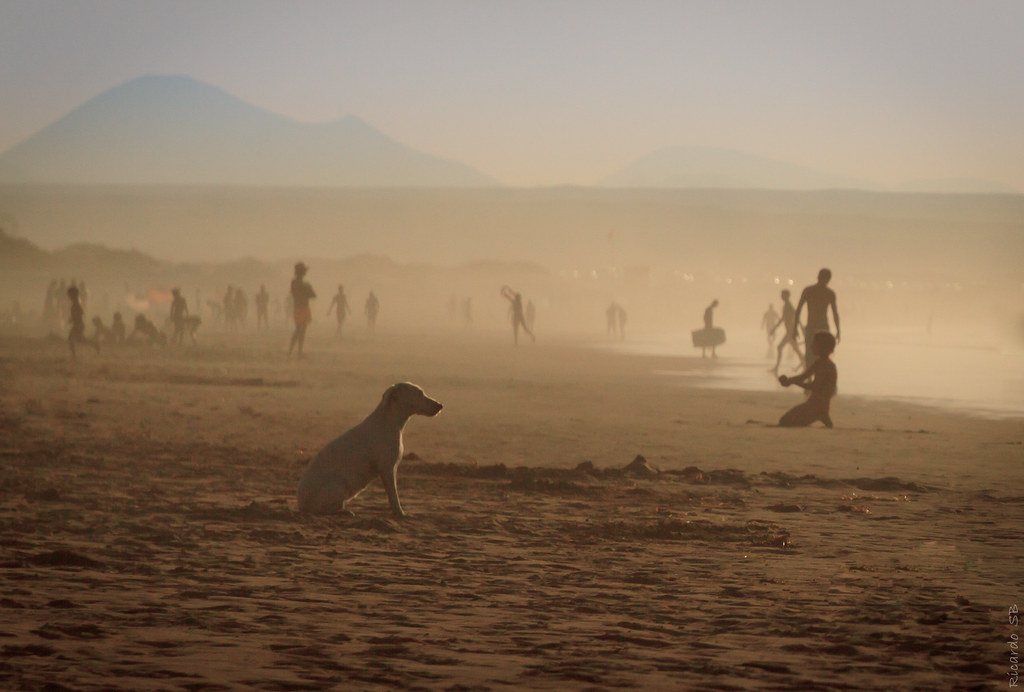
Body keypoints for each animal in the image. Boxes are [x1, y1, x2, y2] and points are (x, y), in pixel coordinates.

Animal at [296, 380, 440, 515]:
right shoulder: (387, 469)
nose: (440, 405)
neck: (389, 422)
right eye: (420, 393)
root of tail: (301, 506)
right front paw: (400, 513)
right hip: (339, 486)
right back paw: (344, 511)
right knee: (323, 509)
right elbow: (394, 496)